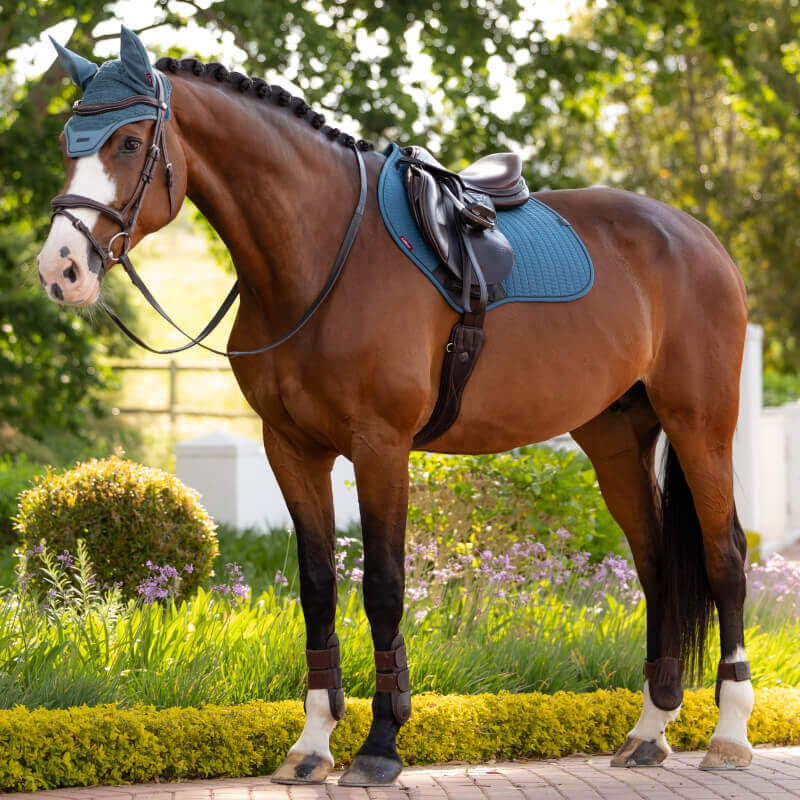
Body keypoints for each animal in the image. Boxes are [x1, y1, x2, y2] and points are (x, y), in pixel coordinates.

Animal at [37, 27, 753, 785]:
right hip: (616, 438)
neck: (322, 254)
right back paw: (649, 728)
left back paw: (729, 734)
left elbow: (382, 586)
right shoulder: (291, 447)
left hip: (701, 425)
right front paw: (312, 743)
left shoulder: (380, 446)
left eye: (129, 143)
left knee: (724, 558)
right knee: (656, 564)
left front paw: (380, 744)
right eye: (68, 143)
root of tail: (699, 238)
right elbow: (318, 586)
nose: (61, 270)